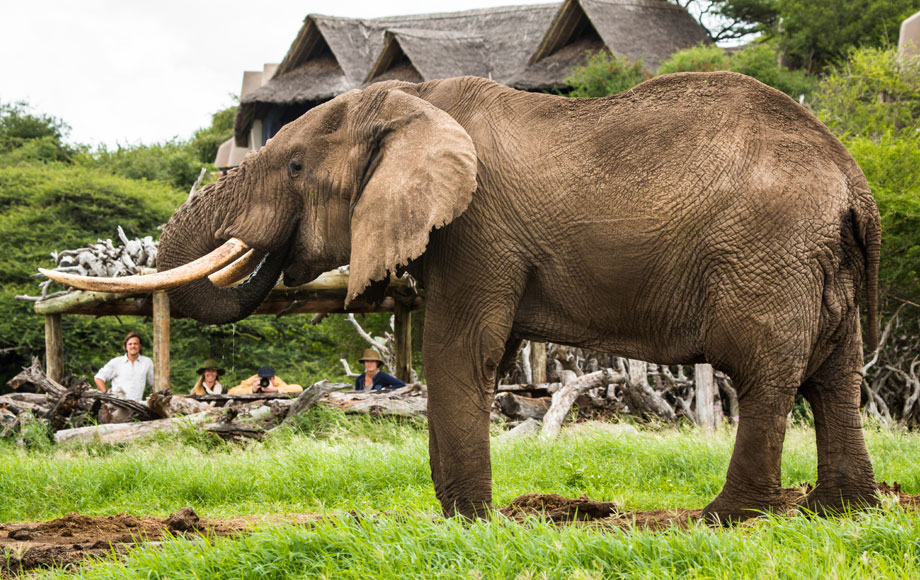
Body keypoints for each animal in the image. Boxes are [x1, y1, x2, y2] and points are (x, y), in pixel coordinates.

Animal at [46, 71, 880, 520]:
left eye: (293, 168)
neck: (412, 101)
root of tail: (852, 177)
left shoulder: (478, 228)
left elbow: (460, 351)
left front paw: (468, 522)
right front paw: (457, 517)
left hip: (768, 252)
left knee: (768, 375)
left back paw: (724, 520)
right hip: (814, 261)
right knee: (836, 375)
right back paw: (841, 510)